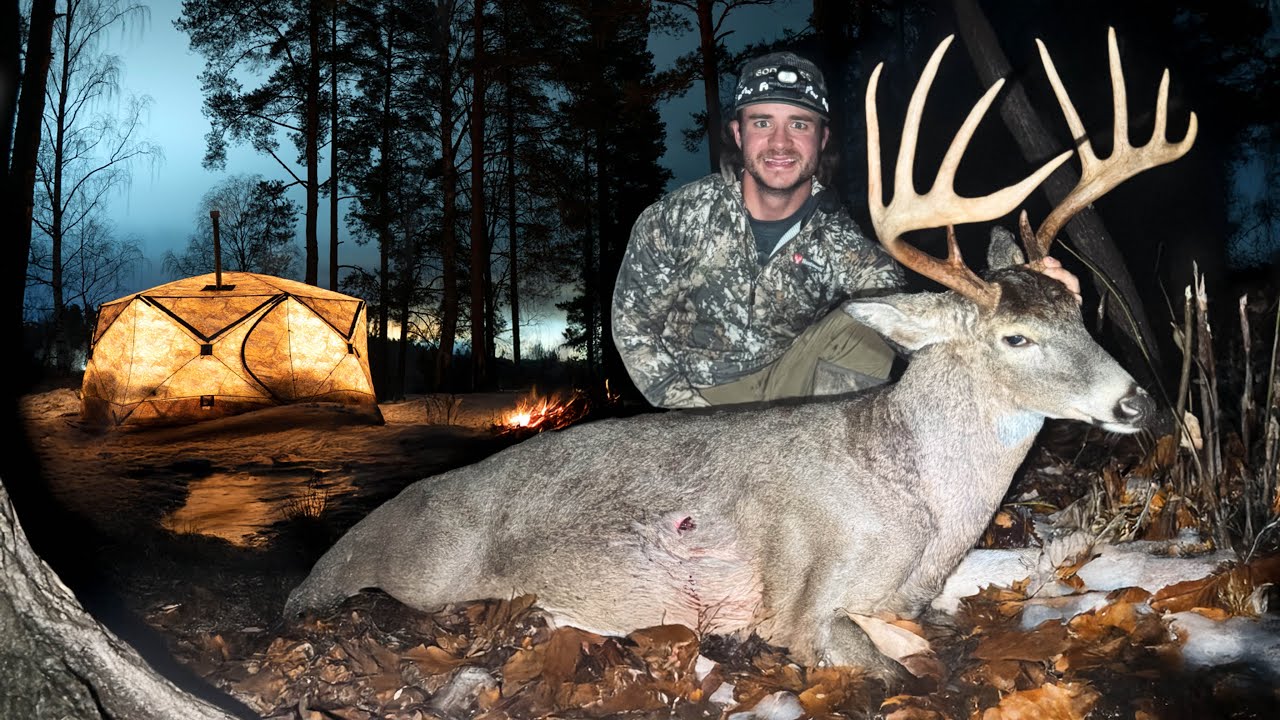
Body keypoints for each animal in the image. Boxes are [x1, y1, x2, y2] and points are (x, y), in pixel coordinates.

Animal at [284, 29, 1195, 677]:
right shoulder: (804, 601)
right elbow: (886, 669)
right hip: (416, 570)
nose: (1137, 401)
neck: (927, 512)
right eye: (1016, 337)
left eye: (1081, 308)